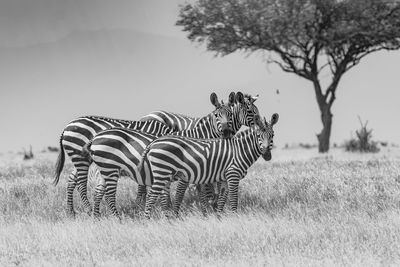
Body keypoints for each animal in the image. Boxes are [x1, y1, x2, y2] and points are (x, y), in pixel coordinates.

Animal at [84, 95, 234, 219]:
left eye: (230, 115)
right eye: (216, 115)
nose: (227, 133)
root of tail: (95, 137)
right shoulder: (189, 171)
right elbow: (184, 194)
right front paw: (178, 214)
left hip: (105, 170)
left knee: (98, 192)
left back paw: (96, 217)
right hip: (110, 169)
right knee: (109, 195)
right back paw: (117, 218)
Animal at [142, 114, 280, 219]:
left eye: (272, 135)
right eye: (258, 135)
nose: (267, 154)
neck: (239, 150)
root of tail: (154, 142)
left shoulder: (225, 178)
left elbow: (221, 200)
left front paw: (219, 218)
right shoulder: (233, 174)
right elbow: (233, 199)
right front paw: (235, 218)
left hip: (164, 174)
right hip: (162, 173)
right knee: (150, 197)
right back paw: (146, 221)